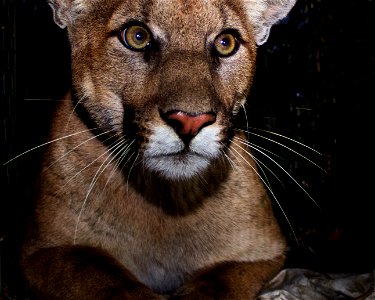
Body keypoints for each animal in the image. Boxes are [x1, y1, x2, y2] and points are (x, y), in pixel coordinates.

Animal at [21, 0, 296, 298]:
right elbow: (98, 274)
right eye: (137, 36)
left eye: (226, 43)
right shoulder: (42, 251)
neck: (165, 199)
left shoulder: (263, 253)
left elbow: (217, 283)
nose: (190, 121)